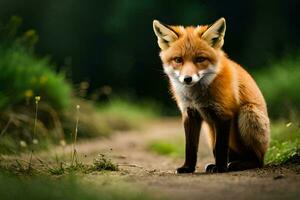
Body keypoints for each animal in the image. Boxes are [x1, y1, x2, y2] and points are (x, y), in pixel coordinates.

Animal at [152, 18, 270, 173]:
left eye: (200, 59)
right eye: (178, 60)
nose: (187, 79)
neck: (197, 98)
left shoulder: (224, 113)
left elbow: (220, 147)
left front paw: (221, 168)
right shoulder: (190, 113)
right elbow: (190, 147)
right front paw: (188, 167)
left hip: (248, 113)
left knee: (257, 160)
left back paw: (239, 164)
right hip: (210, 132)